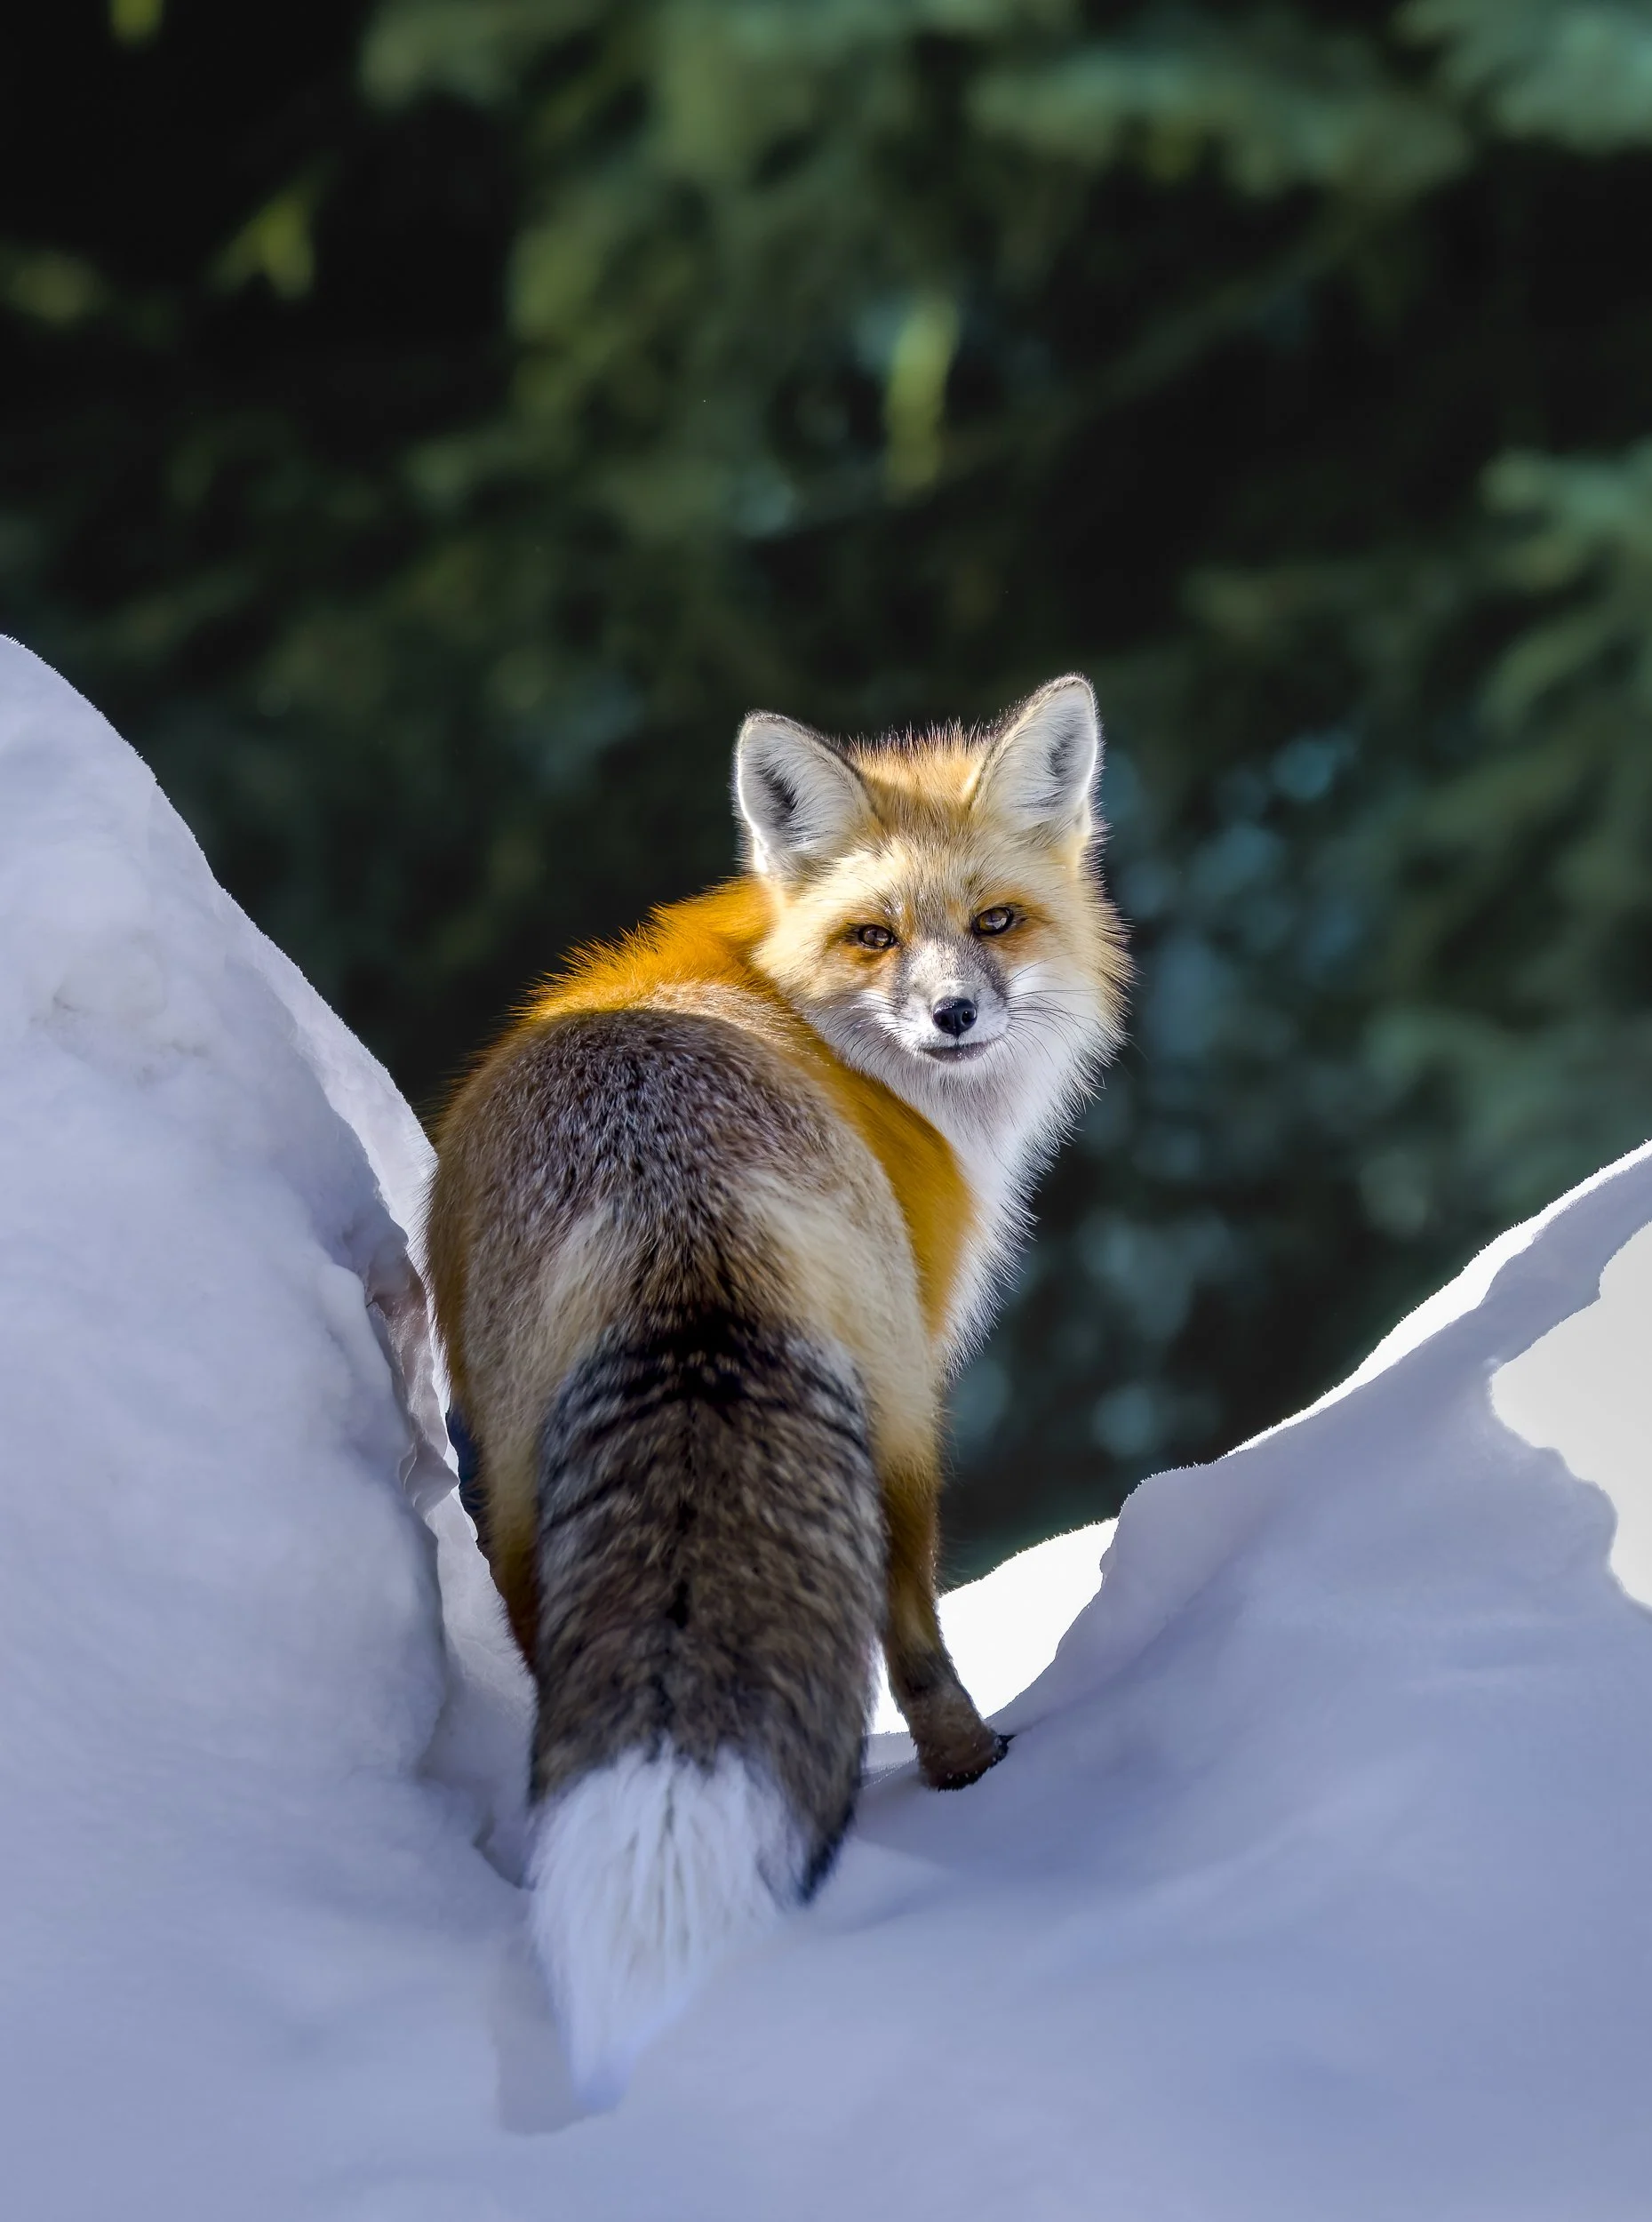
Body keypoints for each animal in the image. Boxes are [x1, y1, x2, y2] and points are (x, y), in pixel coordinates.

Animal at [426, 673, 1128, 2104]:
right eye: (873, 936)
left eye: (993, 921)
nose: (952, 1017)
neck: (781, 998)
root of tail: (670, 1199)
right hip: (905, 1437)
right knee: (909, 1644)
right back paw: (971, 1771)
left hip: (519, 1501)